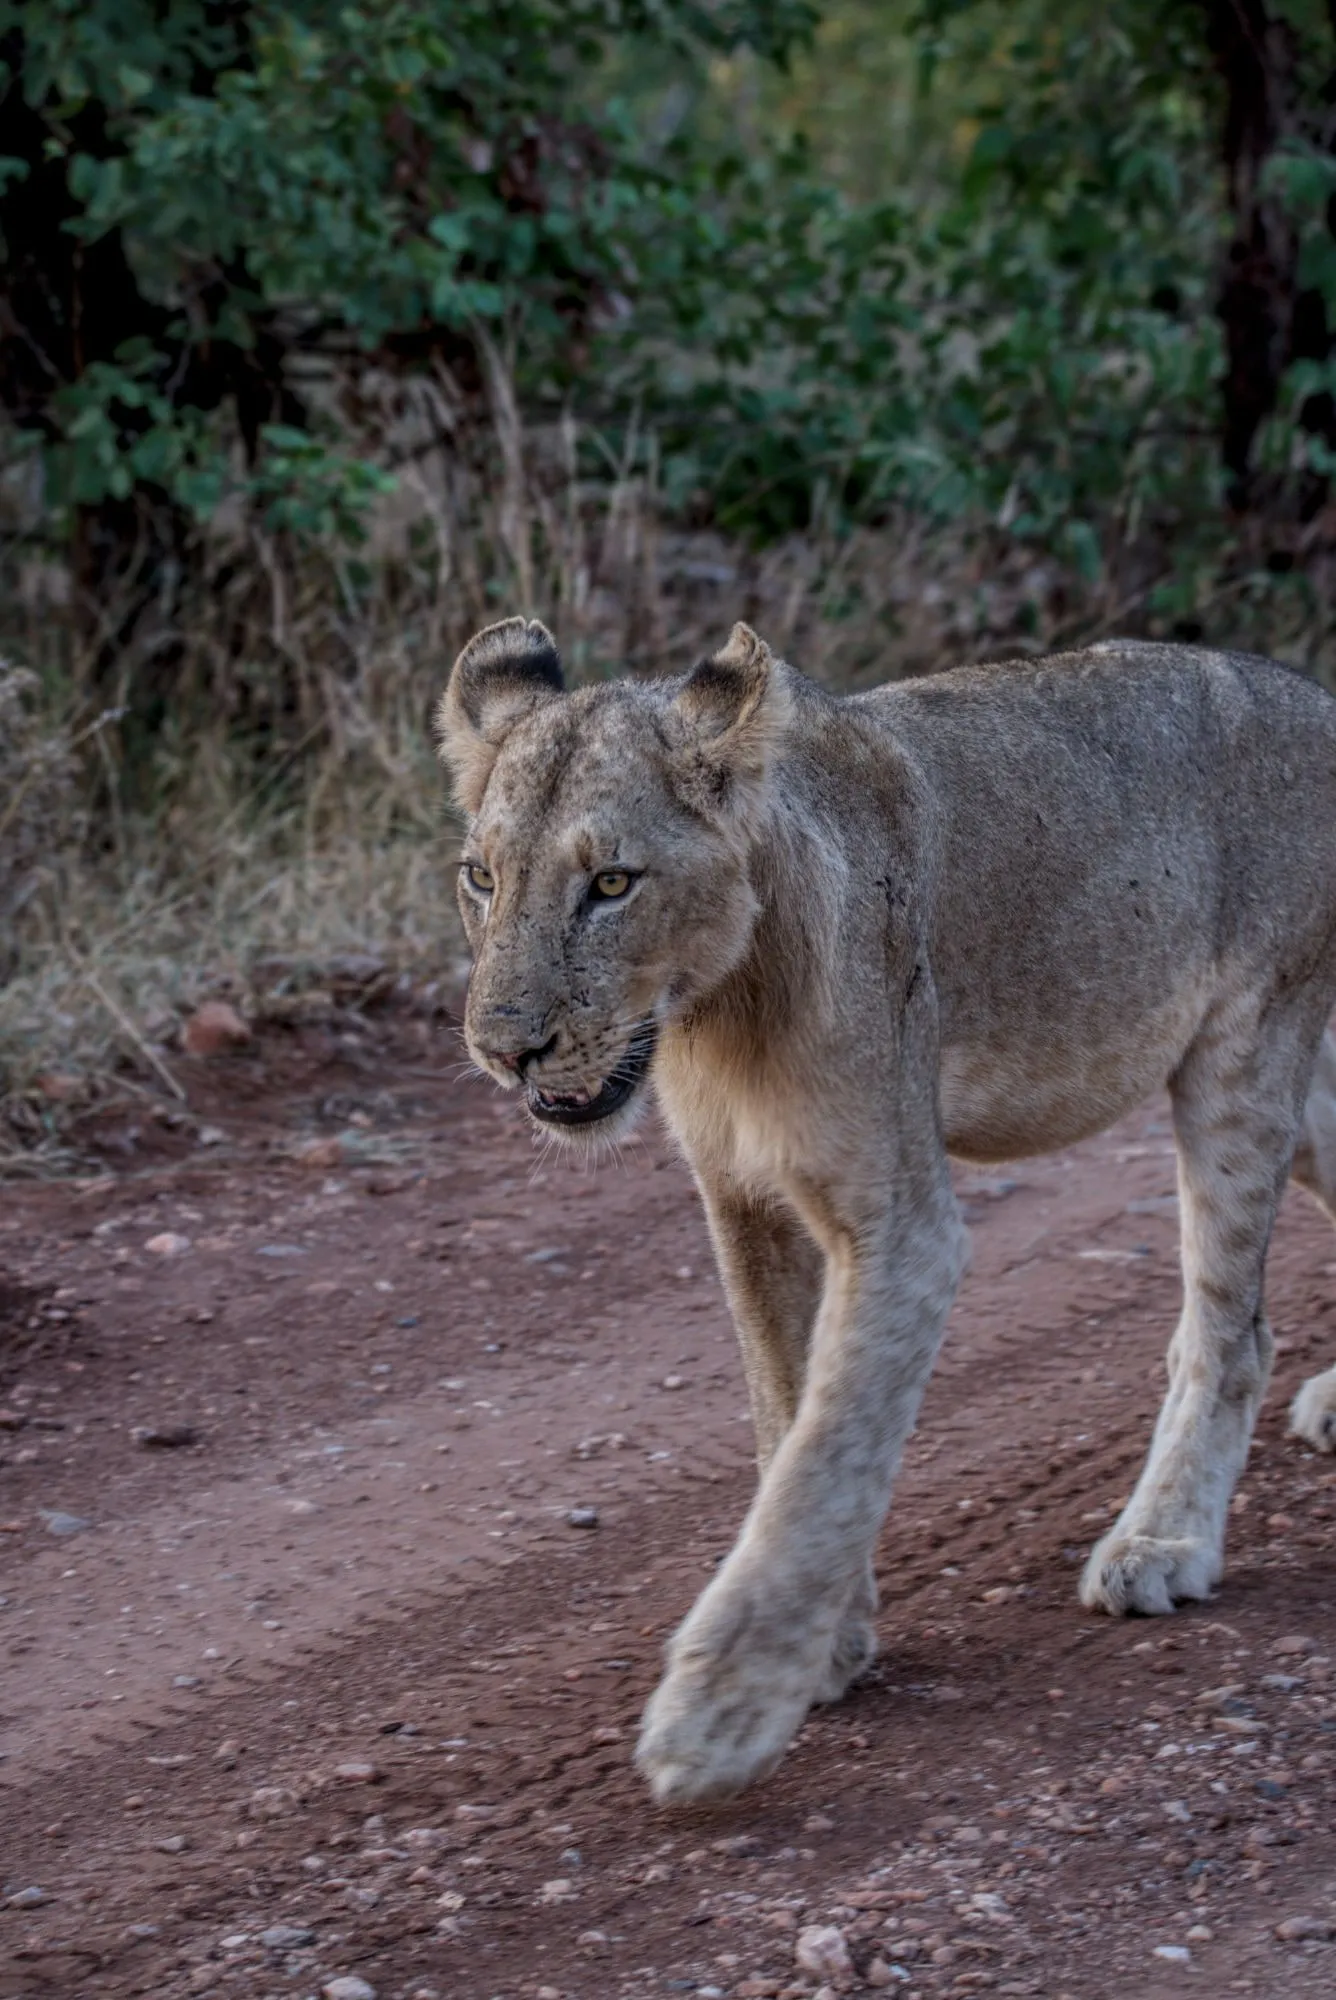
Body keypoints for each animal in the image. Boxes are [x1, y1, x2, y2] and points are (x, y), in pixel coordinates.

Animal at [436, 615, 1336, 1807]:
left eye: (613, 882)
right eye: (480, 877)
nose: (504, 1049)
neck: (713, 1011)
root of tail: (1317, 697)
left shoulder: (903, 1228)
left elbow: (827, 1455)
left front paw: (719, 1710)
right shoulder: (744, 1205)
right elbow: (784, 1417)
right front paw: (830, 1643)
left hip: (1243, 1053)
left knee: (1231, 1329)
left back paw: (1161, 1543)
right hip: (1297, 1087)